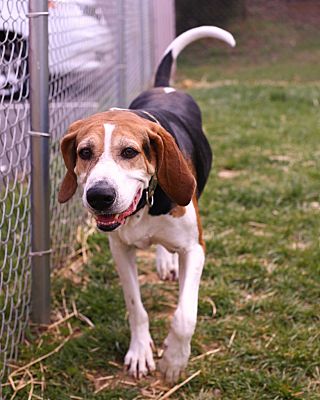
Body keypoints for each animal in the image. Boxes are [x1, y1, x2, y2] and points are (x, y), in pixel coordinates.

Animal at [58, 26, 235, 382]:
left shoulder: (195, 247)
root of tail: (163, 87)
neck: (144, 207)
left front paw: (174, 360)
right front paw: (140, 352)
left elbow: (185, 316)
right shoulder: (120, 249)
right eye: (84, 152)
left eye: (129, 152)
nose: (99, 196)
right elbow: (135, 307)